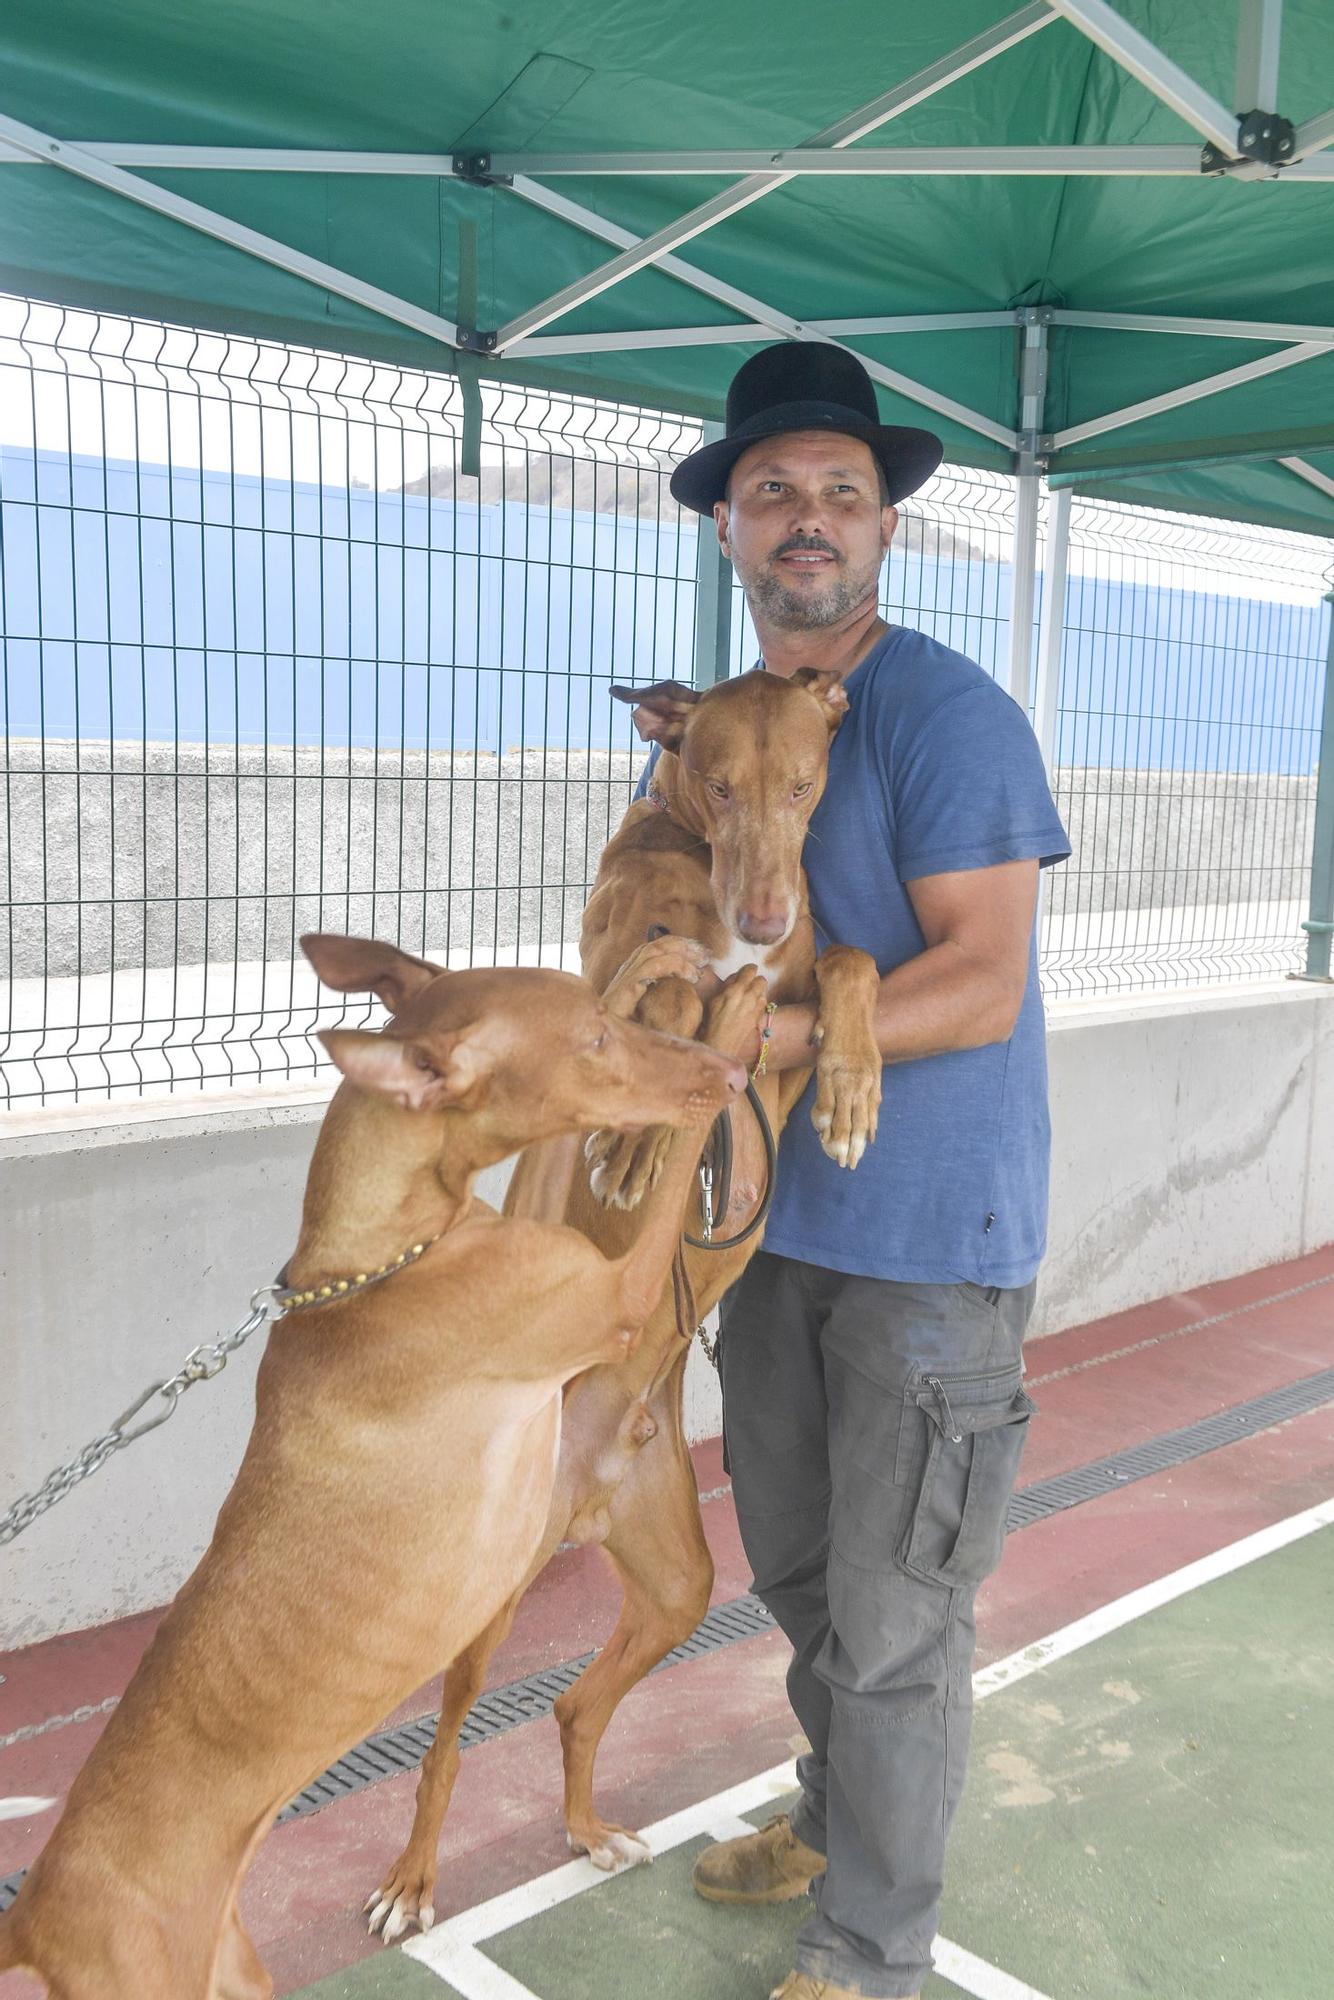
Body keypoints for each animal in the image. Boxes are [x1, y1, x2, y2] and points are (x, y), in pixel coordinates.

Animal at [0, 936, 756, 2000]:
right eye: (597, 1043)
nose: (725, 1078)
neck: (381, 1256)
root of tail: (29, 1914)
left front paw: (665, 966)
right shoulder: (614, 1292)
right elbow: (668, 1184)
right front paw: (741, 1020)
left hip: (236, 1972)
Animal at [368, 668, 888, 1936]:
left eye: (803, 785)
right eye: (717, 781)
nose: (762, 913)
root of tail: (588, 1488)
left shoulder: (782, 1030)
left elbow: (846, 962)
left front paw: (851, 1084)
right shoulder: (607, 978)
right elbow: (662, 998)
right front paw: (630, 1145)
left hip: (678, 1587)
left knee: (573, 1706)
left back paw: (588, 1827)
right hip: (496, 1602)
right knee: (446, 1747)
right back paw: (412, 1882)